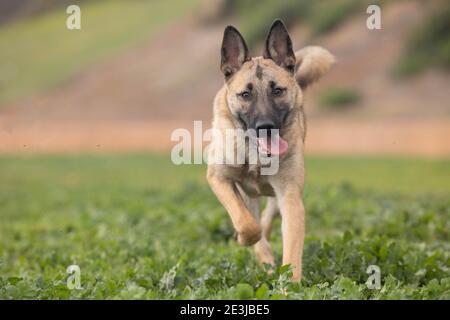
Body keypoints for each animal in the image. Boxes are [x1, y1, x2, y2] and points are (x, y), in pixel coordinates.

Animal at [207, 19, 334, 280]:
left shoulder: (290, 197)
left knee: (266, 221)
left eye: (277, 91)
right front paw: (244, 237)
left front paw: (290, 284)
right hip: (247, 194)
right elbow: (246, 223)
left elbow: (292, 250)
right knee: (255, 222)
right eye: (245, 94)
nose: (265, 126)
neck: (256, 155)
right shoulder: (218, 178)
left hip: (276, 199)